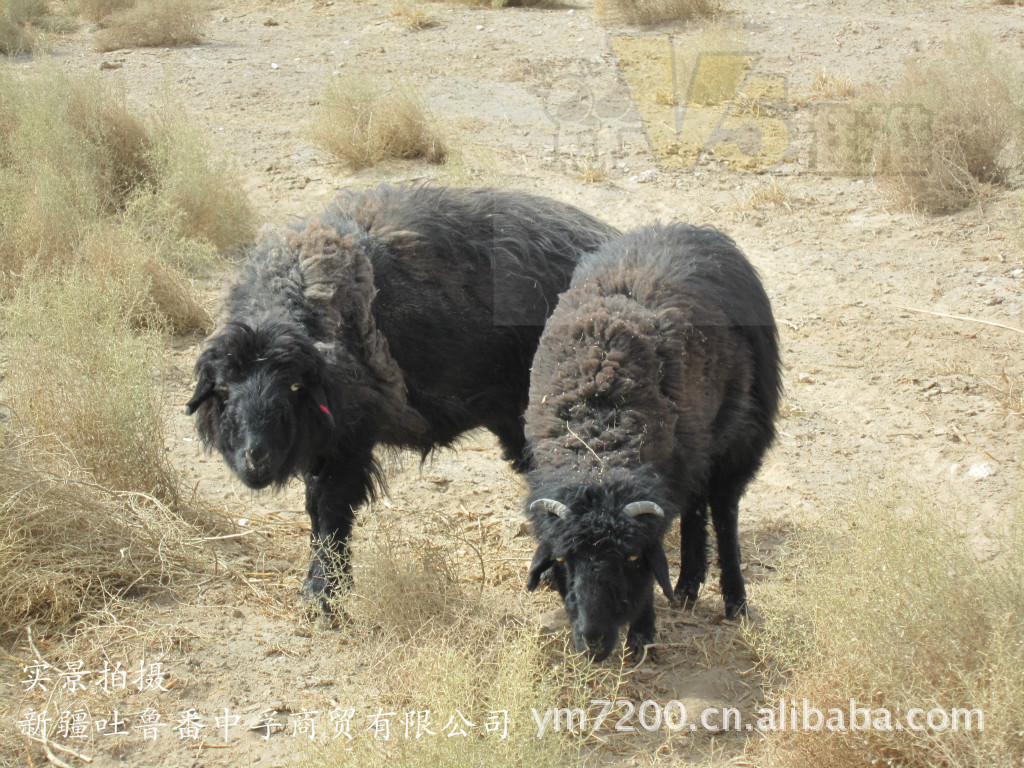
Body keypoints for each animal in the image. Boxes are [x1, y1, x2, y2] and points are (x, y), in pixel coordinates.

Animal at [184, 183, 614, 610]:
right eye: (223, 388)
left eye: (293, 387)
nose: (255, 458)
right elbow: (319, 511)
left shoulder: (350, 440)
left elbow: (330, 510)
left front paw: (323, 596)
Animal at [524, 222, 778, 663]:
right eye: (564, 560)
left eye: (629, 558)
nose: (593, 642)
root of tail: (686, 228)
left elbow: (649, 578)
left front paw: (642, 638)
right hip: (695, 451)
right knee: (696, 507)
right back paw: (688, 588)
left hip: (740, 437)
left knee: (723, 510)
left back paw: (735, 602)